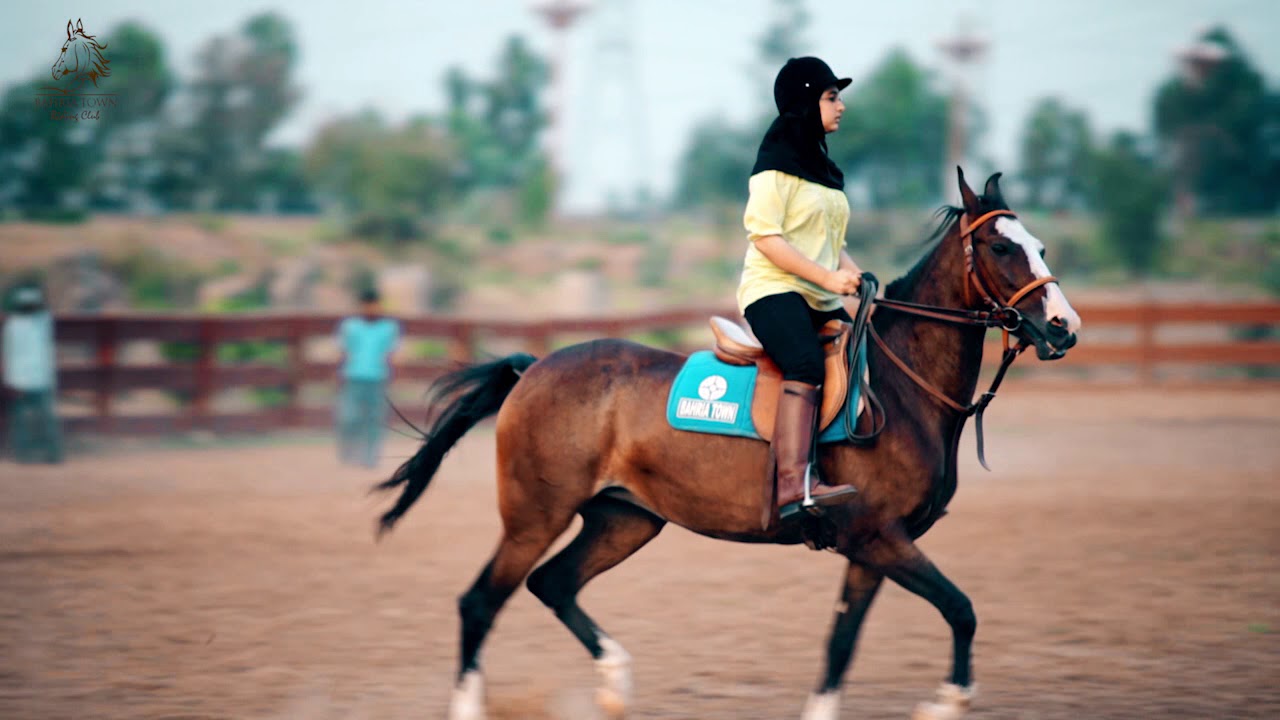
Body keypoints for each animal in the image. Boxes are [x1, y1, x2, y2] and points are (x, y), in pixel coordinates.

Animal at [375, 168, 1082, 720]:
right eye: (1000, 245)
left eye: (1041, 245)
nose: (1063, 327)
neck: (900, 386)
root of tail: (534, 369)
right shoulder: (879, 537)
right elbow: (961, 609)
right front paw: (948, 702)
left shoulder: (872, 546)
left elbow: (842, 642)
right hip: (535, 515)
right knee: (479, 602)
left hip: (624, 519)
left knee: (553, 584)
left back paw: (615, 684)